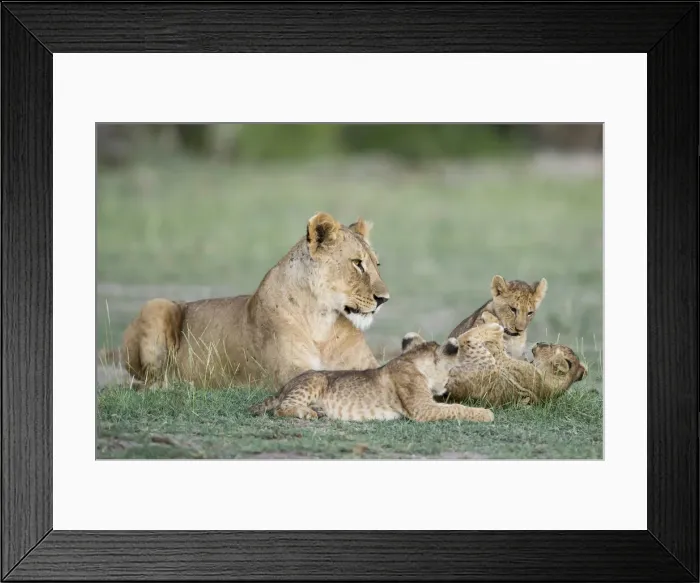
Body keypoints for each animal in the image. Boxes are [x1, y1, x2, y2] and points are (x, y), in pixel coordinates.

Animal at [117, 212, 390, 390]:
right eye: (357, 263)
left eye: (377, 264)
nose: (384, 299)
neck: (322, 323)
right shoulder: (291, 372)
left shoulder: (366, 363)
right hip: (157, 305)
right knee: (149, 380)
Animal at [248, 325, 501, 423]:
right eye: (448, 373)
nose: (445, 387)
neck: (411, 361)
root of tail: (284, 387)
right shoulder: (422, 409)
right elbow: (456, 408)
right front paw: (486, 413)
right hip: (314, 380)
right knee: (282, 408)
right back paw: (308, 412)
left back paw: (317, 410)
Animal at [402, 315, 587, 408]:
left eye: (549, 346)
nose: (539, 343)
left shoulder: (504, 362)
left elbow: (497, 346)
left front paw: (491, 319)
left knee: (470, 337)